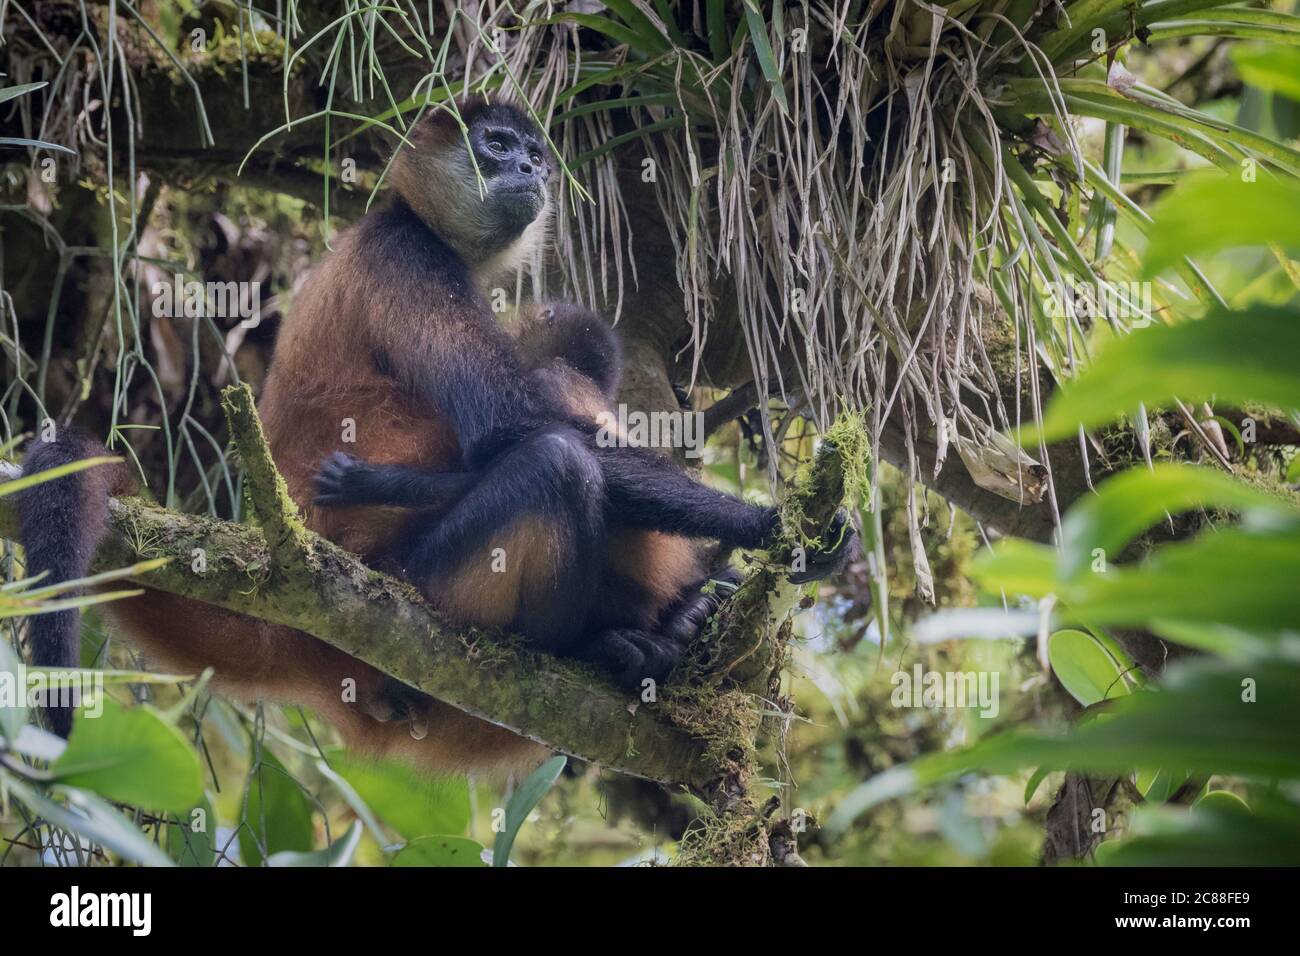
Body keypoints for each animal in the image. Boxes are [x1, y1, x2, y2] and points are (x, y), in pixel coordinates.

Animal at [15, 95, 852, 776]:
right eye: (495, 144)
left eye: (533, 153)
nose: (529, 169)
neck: (402, 216)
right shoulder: (407, 252)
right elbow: (512, 429)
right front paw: (772, 525)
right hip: (431, 583)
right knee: (556, 463)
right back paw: (606, 645)